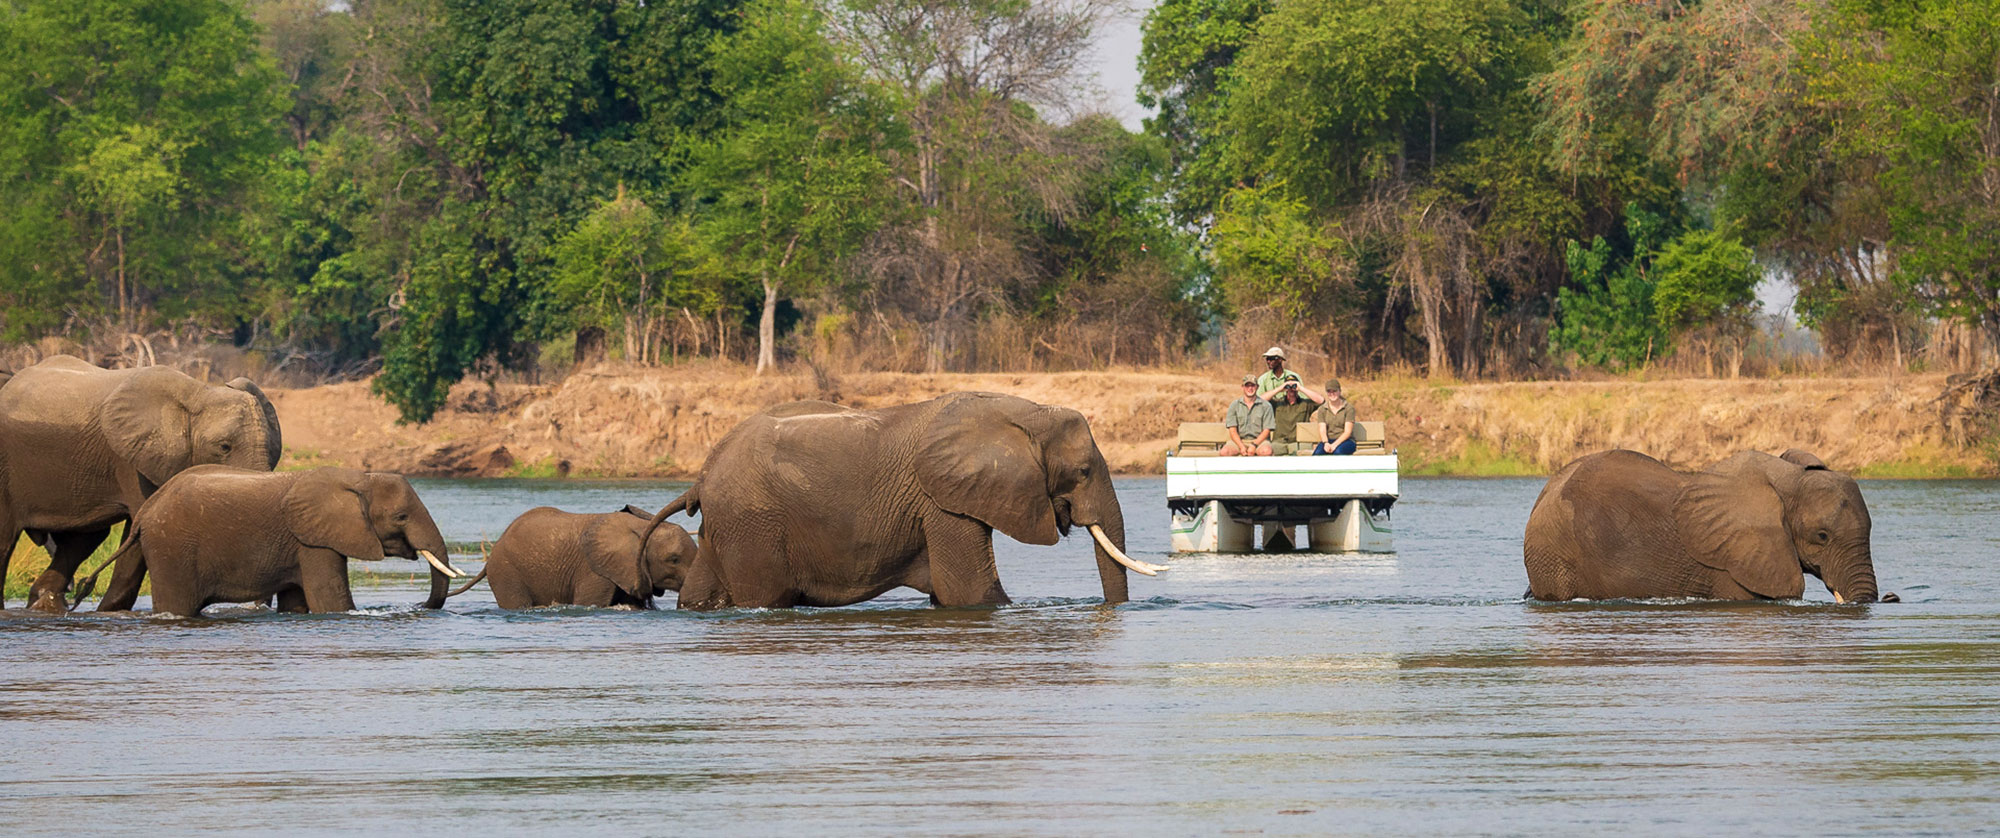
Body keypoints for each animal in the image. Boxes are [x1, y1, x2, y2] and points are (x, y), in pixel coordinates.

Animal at [0, 354, 284, 612]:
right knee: (6, 539)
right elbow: (141, 524)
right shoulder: (132, 462)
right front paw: (110, 614)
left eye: (272, 449)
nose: (259, 607)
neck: (196, 394)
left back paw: (45, 603)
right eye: (224, 447)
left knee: (84, 538)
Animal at [88, 466, 462, 616]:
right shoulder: (314, 542)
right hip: (171, 549)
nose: (418, 606)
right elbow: (332, 601)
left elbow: (297, 602)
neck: (360, 478)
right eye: (401, 517)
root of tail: (146, 510)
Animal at [648, 394, 1168, 612]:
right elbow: (969, 593)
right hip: (752, 523)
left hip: (728, 525)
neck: (1026, 411)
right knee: (765, 597)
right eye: (1082, 473)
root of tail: (700, 477)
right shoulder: (943, 502)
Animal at [1520, 452, 1880, 604]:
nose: (1889, 598)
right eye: (1822, 537)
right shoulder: (1733, 566)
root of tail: (1546, 491)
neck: (1788, 478)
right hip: (1554, 553)